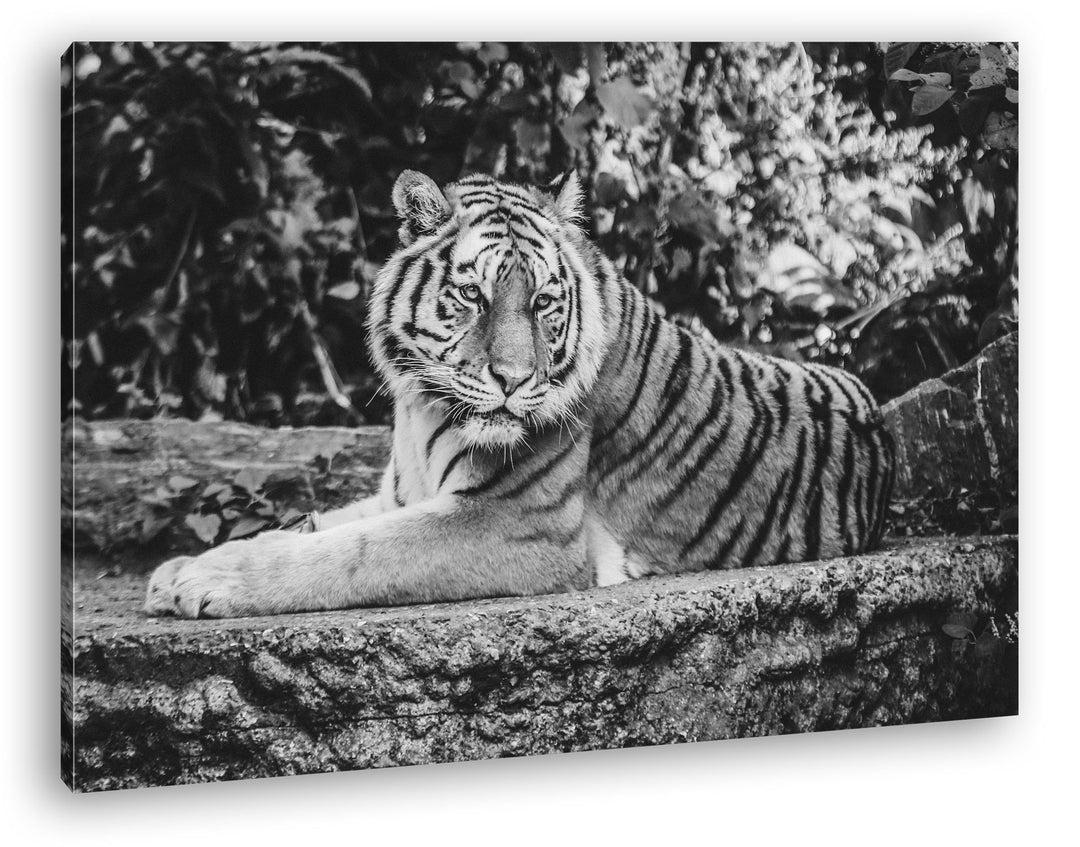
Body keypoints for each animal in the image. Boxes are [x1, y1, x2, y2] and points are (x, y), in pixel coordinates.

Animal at [145, 169, 895, 619]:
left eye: (541, 303)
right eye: (472, 297)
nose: (512, 380)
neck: (421, 408)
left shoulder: (518, 522)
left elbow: (352, 552)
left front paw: (205, 581)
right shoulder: (399, 495)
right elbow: (321, 522)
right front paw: (177, 568)